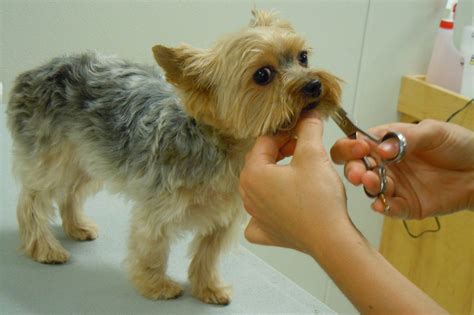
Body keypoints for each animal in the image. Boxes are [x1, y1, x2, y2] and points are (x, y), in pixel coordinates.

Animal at [7, 10, 340, 306]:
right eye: (262, 75)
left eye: (303, 57)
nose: (314, 85)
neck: (225, 150)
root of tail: (34, 71)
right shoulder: (158, 210)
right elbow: (152, 248)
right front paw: (156, 286)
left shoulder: (223, 218)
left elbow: (208, 254)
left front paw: (208, 288)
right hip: (53, 156)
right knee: (33, 200)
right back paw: (43, 247)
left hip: (89, 156)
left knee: (72, 191)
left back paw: (76, 227)